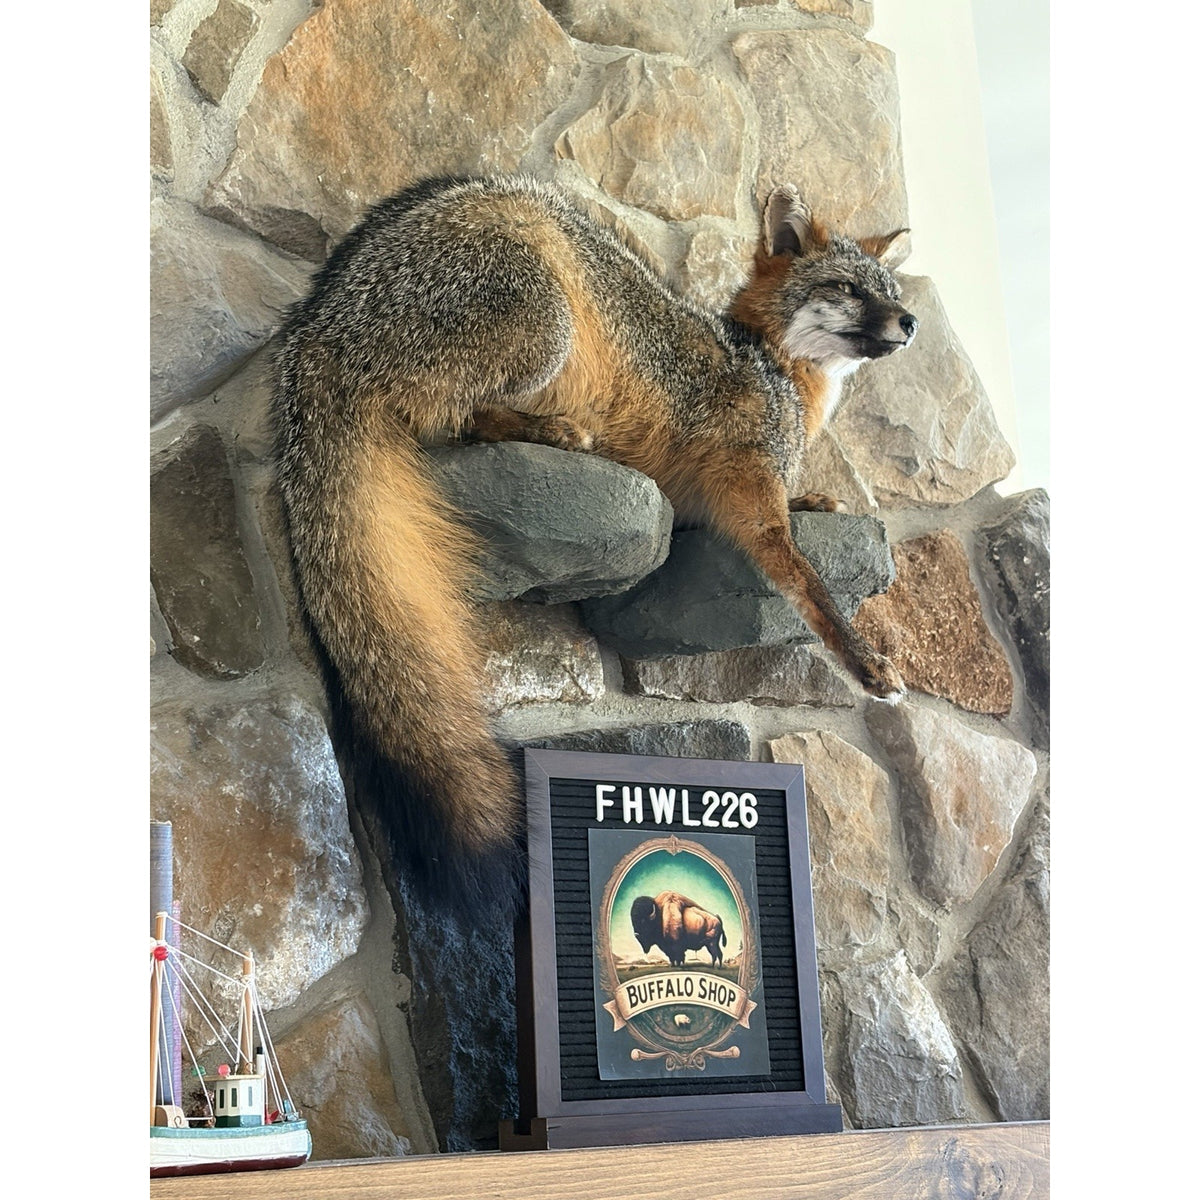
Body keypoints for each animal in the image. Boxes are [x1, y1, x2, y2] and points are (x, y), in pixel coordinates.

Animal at [272, 174, 916, 883]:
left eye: (892, 292)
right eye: (848, 288)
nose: (911, 321)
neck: (773, 368)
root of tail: (314, 319)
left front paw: (817, 498)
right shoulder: (749, 494)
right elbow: (808, 583)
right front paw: (865, 662)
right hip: (544, 326)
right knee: (456, 420)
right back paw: (558, 432)